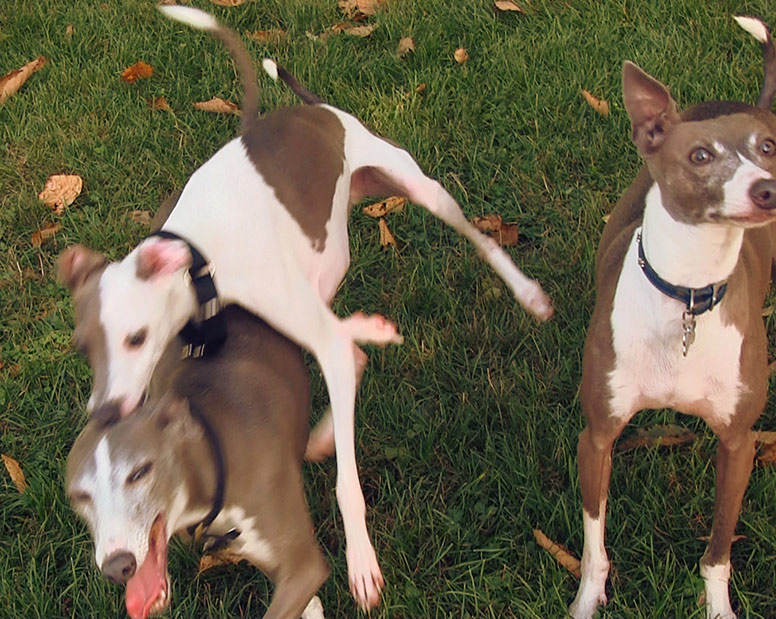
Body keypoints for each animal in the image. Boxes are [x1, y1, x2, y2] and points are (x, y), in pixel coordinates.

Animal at [57, 4, 552, 608]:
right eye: (83, 347)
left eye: (135, 338)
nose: (104, 413)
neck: (199, 249)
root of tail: (313, 109)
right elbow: (340, 356)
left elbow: (346, 484)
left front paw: (361, 562)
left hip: (417, 186)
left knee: (476, 239)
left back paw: (526, 294)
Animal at [568, 14, 776, 619]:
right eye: (700, 156)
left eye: (768, 148)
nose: (766, 190)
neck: (687, 293)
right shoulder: (598, 436)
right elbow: (594, 549)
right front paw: (586, 602)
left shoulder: (740, 443)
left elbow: (718, 551)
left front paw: (719, 607)